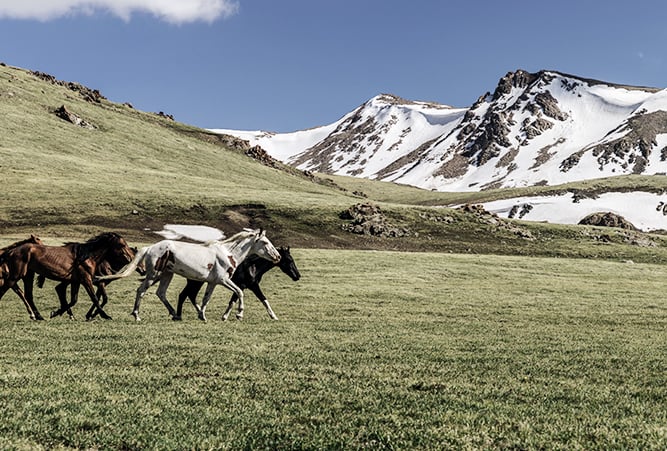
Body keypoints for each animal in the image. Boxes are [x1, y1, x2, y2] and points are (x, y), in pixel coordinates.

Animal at [0, 233, 136, 322]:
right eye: (122, 245)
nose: (131, 258)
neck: (86, 257)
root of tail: (11, 251)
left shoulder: (76, 281)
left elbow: (73, 300)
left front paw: (55, 313)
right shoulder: (86, 280)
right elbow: (95, 298)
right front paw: (105, 316)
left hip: (27, 275)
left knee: (28, 295)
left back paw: (38, 316)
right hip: (15, 277)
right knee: (7, 290)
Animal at [96, 230, 280, 322]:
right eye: (265, 242)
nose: (277, 256)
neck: (228, 253)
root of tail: (150, 248)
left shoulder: (213, 282)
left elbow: (206, 298)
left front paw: (202, 316)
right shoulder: (223, 280)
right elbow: (240, 292)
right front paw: (239, 314)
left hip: (166, 275)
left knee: (161, 293)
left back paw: (175, 314)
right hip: (154, 275)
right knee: (141, 291)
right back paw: (137, 315)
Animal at [174, 247, 302, 322]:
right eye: (289, 260)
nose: (297, 276)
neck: (253, 266)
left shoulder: (248, 286)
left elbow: (238, 300)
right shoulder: (246, 286)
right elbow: (238, 300)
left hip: (197, 282)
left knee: (191, 295)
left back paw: (199, 313)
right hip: (195, 282)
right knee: (184, 295)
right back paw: (179, 316)